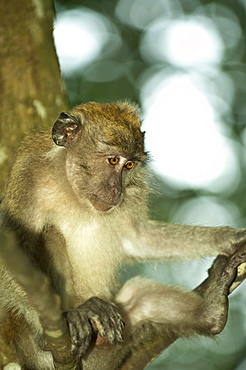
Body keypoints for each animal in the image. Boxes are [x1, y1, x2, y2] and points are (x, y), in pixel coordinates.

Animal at [0, 101, 246, 370]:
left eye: (129, 165)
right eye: (113, 160)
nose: (116, 189)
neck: (74, 189)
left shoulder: (133, 191)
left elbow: (138, 240)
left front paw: (228, 238)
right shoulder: (28, 169)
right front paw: (65, 317)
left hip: (108, 352)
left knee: (139, 298)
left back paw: (211, 313)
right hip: (34, 348)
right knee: (51, 236)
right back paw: (69, 321)